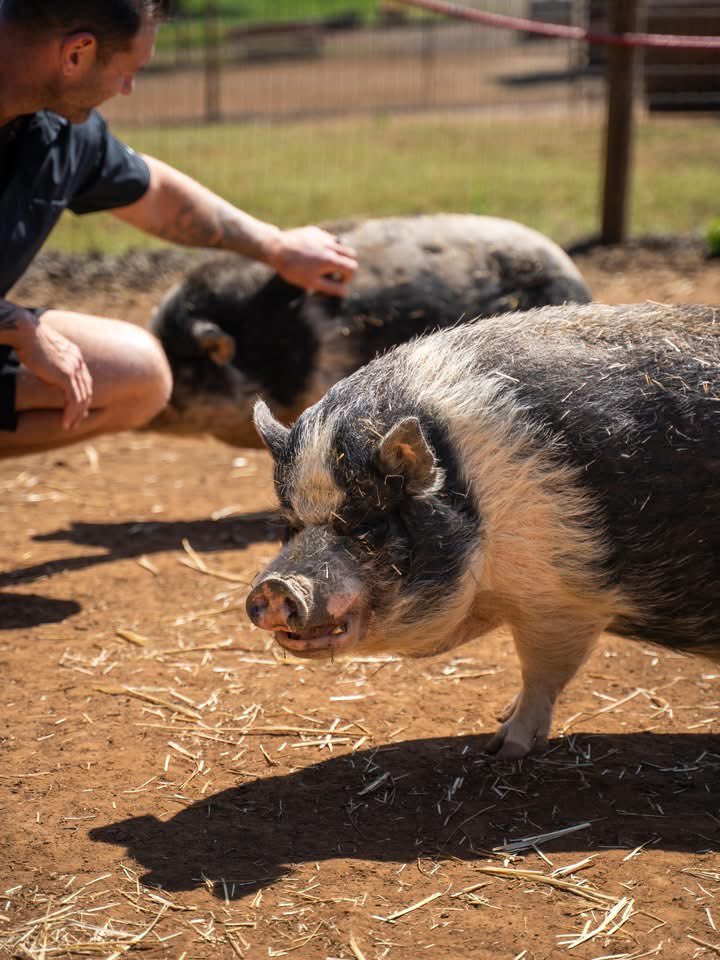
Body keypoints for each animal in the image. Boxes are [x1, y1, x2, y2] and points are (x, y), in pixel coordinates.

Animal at [245, 302, 720, 759]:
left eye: (365, 525)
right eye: (290, 525)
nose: (274, 587)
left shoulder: (563, 597)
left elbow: (542, 673)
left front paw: (502, 748)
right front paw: (500, 722)